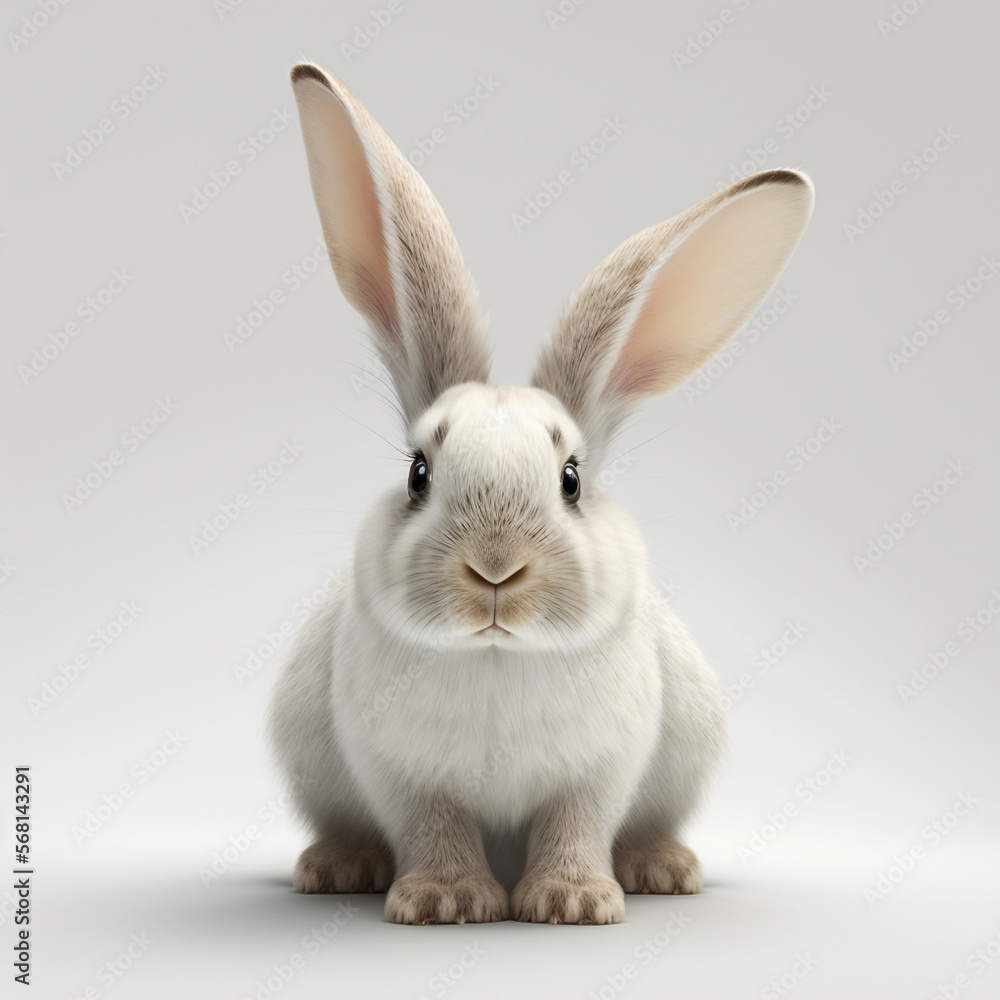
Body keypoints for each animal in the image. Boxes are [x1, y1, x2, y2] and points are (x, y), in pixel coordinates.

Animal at [269, 61, 814, 925]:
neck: (496, 657)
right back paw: (339, 866)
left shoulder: (601, 770)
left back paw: (662, 868)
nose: (495, 569)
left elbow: (576, 824)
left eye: (571, 479)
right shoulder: (404, 776)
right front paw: (444, 902)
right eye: (419, 472)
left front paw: (575, 903)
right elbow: (434, 827)